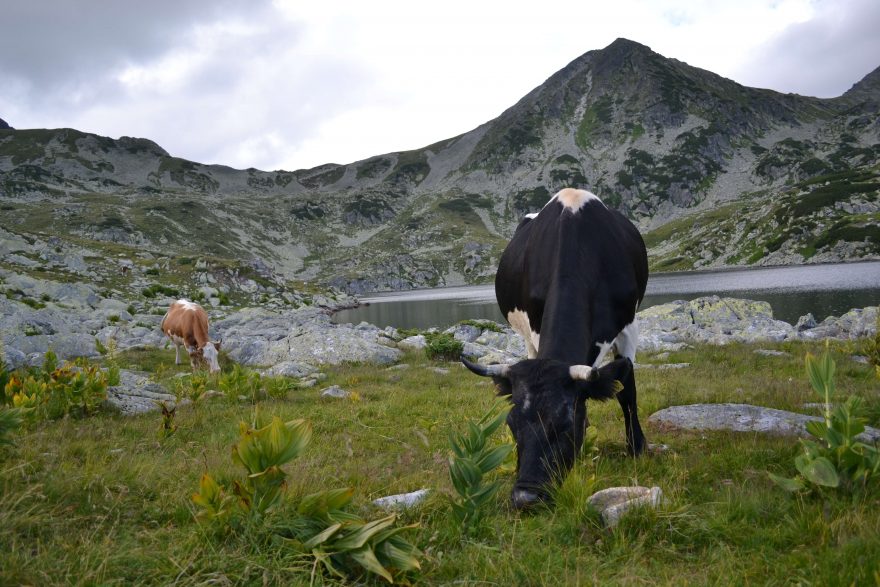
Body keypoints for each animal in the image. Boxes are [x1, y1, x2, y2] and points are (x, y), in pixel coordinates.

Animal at [464, 188, 648, 510]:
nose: (526, 497)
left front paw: (636, 447)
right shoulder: (535, 327)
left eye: (566, 425)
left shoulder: (629, 326)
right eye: (511, 425)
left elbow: (627, 391)